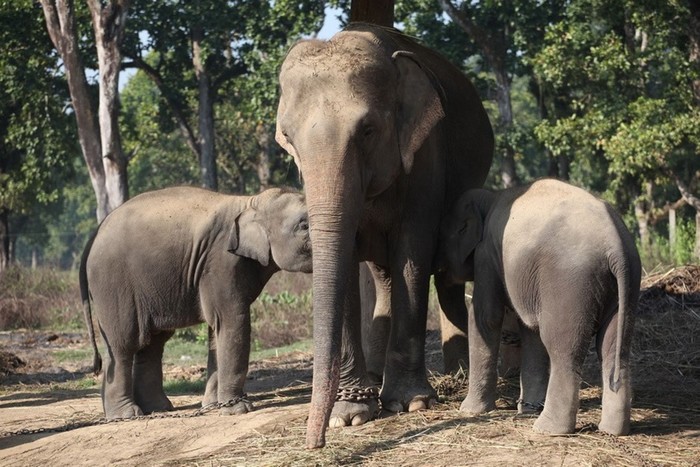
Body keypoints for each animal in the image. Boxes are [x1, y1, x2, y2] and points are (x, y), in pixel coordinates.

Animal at [80, 186, 312, 420]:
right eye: (304, 226)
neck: (250, 202)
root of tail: (93, 237)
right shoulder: (220, 262)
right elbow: (232, 321)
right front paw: (238, 409)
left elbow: (217, 329)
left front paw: (213, 406)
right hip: (113, 283)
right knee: (124, 343)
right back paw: (127, 415)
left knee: (153, 342)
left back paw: (157, 408)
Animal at [274, 22, 492, 450]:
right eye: (288, 138)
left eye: (368, 130)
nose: (315, 443)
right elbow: (345, 259)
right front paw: (350, 415)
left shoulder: (426, 153)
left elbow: (413, 250)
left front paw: (411, 404)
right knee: (383, 274)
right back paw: (376, 377)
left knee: (443, 275)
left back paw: (456, 372)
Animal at [440, 178, 644, 436]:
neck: (490, 198)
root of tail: (616, 246)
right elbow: (530, 330)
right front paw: (526, 409)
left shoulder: (486, 255)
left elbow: (487, 317)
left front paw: (469, 411)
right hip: (626, 284)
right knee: (613, 347)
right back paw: (612, 431)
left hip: (568, 282)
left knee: (562, 347)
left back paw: (547, 428)